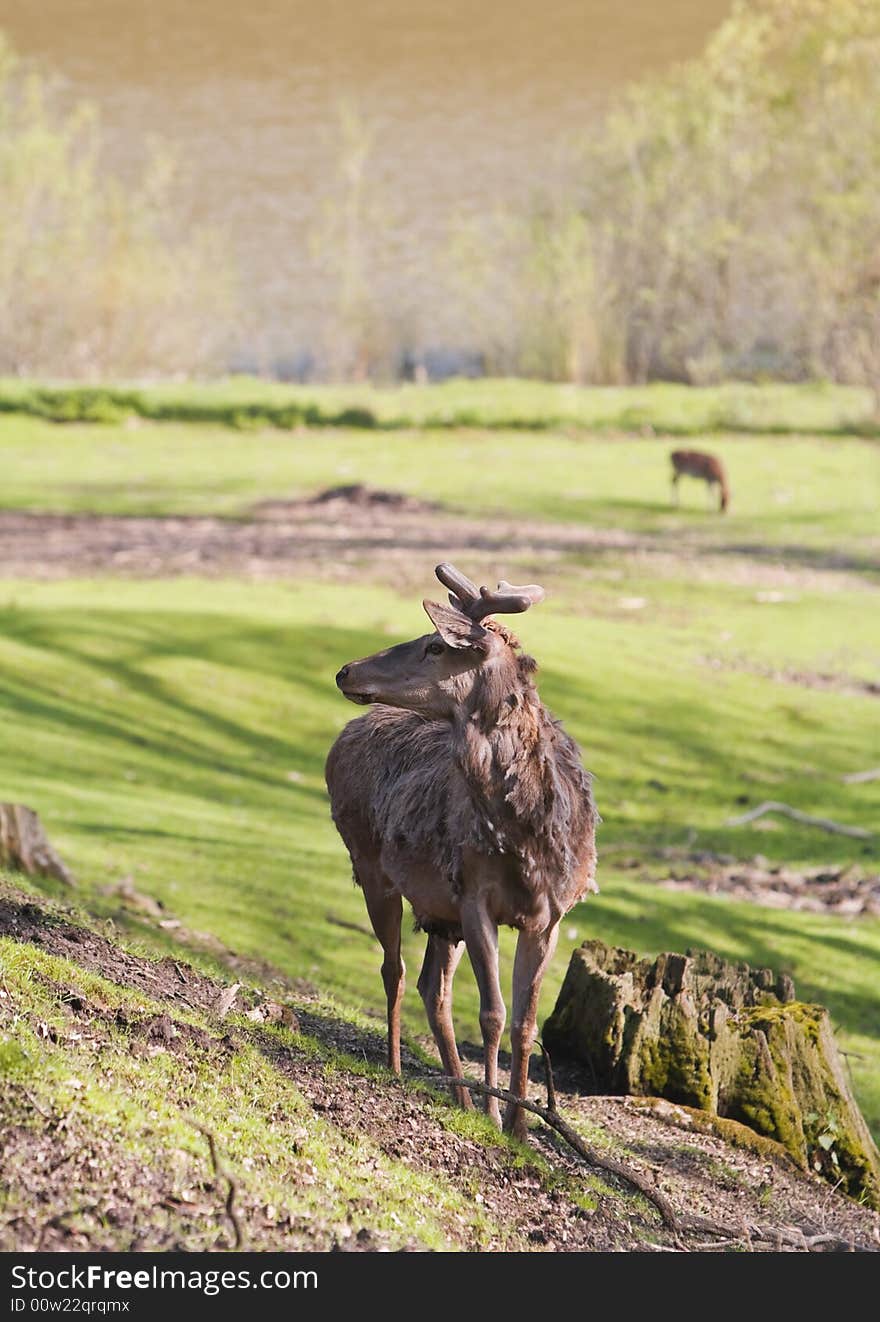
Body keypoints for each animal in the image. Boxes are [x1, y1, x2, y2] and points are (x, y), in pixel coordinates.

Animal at [322, 557, 597, 1136]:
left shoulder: (551, 916)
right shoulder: (474, 897)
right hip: (371, 867)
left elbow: (525, 1021)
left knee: (433, 986)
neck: (527, 841)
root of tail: (343, 736)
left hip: (438, 911)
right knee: (396, 970)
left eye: (434, 645)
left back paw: (459, 1094)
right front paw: (496, 1115)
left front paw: (519, 1125)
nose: (346, 671)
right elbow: (492, 1013)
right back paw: (399, 1067)